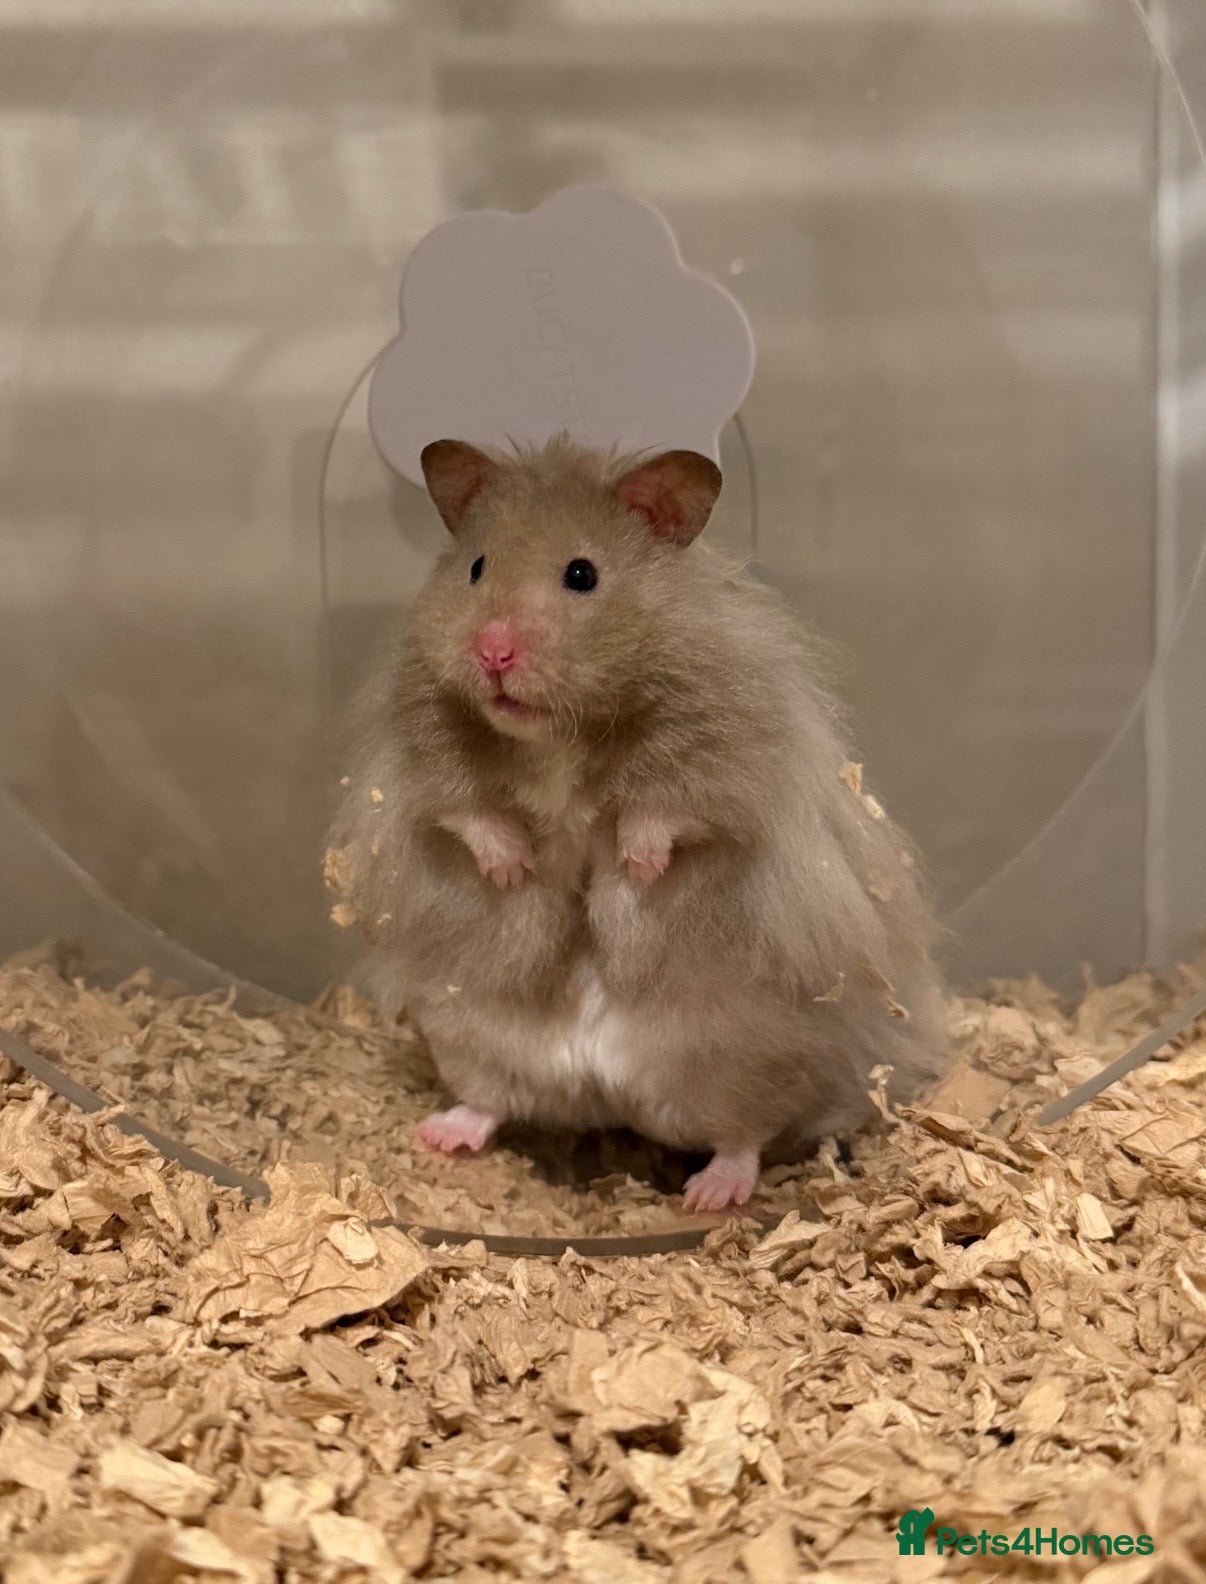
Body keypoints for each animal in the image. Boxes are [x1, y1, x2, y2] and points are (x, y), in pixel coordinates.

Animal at [328, 435, 948, 1212]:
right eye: (476, 568)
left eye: (582, 574)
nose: (492, 652)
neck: (562, 730)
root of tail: (604, 1092)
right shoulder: (424, 752)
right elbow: (466, 811)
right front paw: (513, 866)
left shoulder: (721, 750)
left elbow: (670, 810)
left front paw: (636, 866)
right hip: (468, 1035)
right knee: (492, 1101)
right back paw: (441, 1135)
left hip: (744, 1059)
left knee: (744, 1135)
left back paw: (713, 1194)